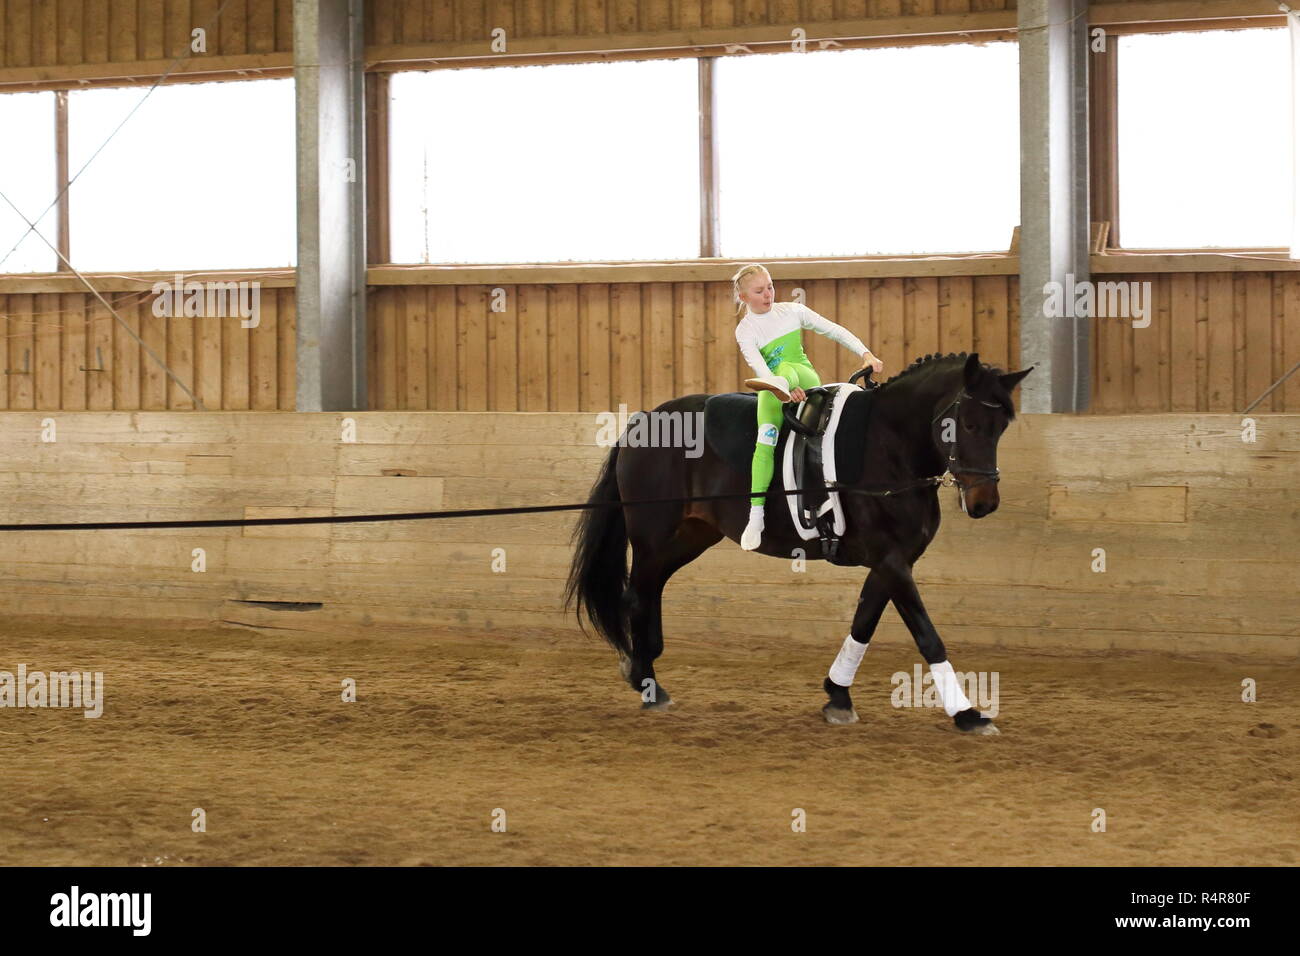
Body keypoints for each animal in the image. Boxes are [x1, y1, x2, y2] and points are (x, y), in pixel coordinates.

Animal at [564, 351, 1029, 733]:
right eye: (966, 424)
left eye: (1001, 427)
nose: (984, 503)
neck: (889, 447)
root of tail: (643, 419)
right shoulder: (891, 560)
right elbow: (927, 636)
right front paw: (967, 714)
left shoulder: (891, 562)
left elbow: (863, 622)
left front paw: (838, 696)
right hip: (652, 536)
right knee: (636, 597)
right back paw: (648, 683)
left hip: (690, 536)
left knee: (650, 590)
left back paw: (646, 670)